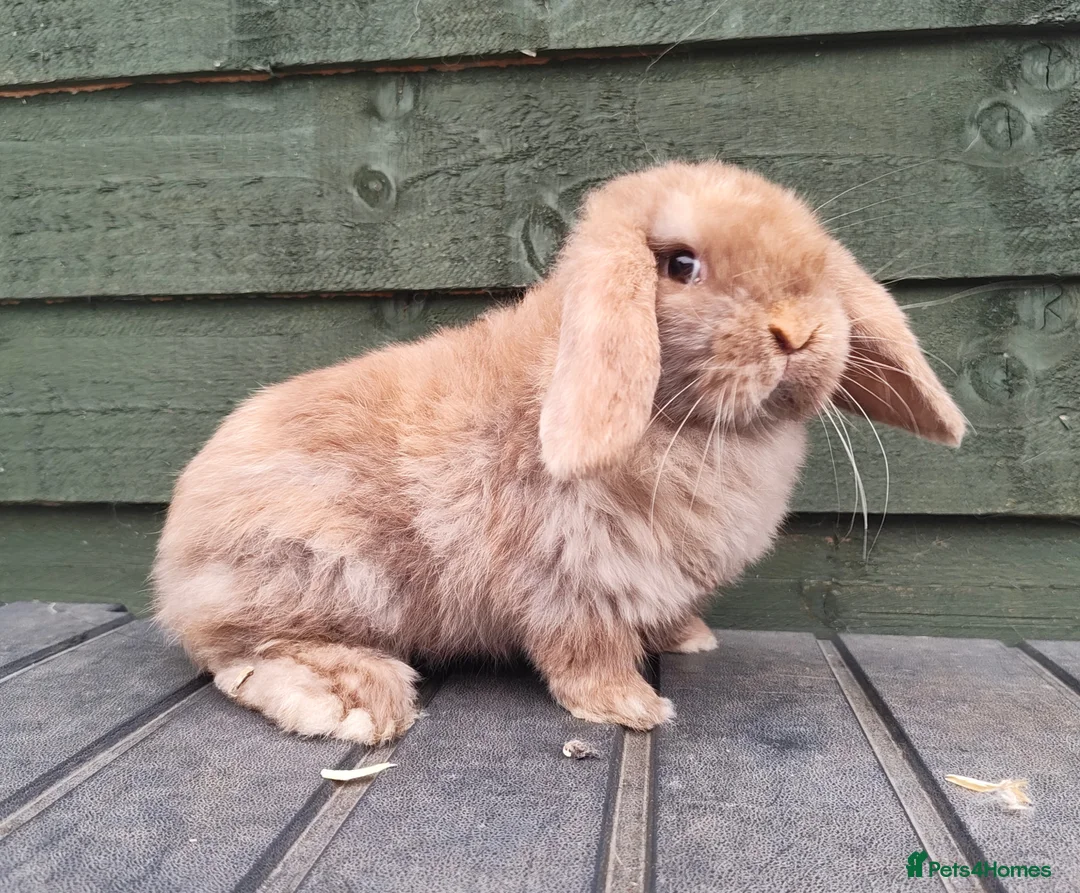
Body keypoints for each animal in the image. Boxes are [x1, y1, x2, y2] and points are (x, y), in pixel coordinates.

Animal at [153, 160, 965, 744]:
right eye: (680, 265)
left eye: (817, 264)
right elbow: (584, 650)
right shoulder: (570, 575)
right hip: (321, 571)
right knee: (236, 655)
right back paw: (357, 699)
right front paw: (632, 708)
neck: (684, 424)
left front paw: (690, 639)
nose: (798, 331)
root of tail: (174, 561)